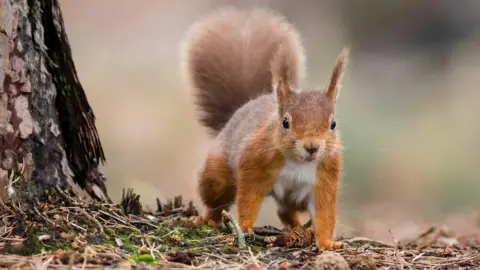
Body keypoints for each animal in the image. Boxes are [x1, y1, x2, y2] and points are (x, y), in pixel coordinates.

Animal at [181, 6, 348, 251]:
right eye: (285, 122)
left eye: (333, 124)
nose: (312, 147)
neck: (298, 162)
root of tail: (242, 108)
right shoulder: (254, 166)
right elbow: (248, 198)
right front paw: (245, 227)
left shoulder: (325, 179)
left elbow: (325, 213)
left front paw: (327, 243)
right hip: (217, 176)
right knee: (216, 200)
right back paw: (205, 219)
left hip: (295, 198)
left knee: (285, 211)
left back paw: (297, 228)